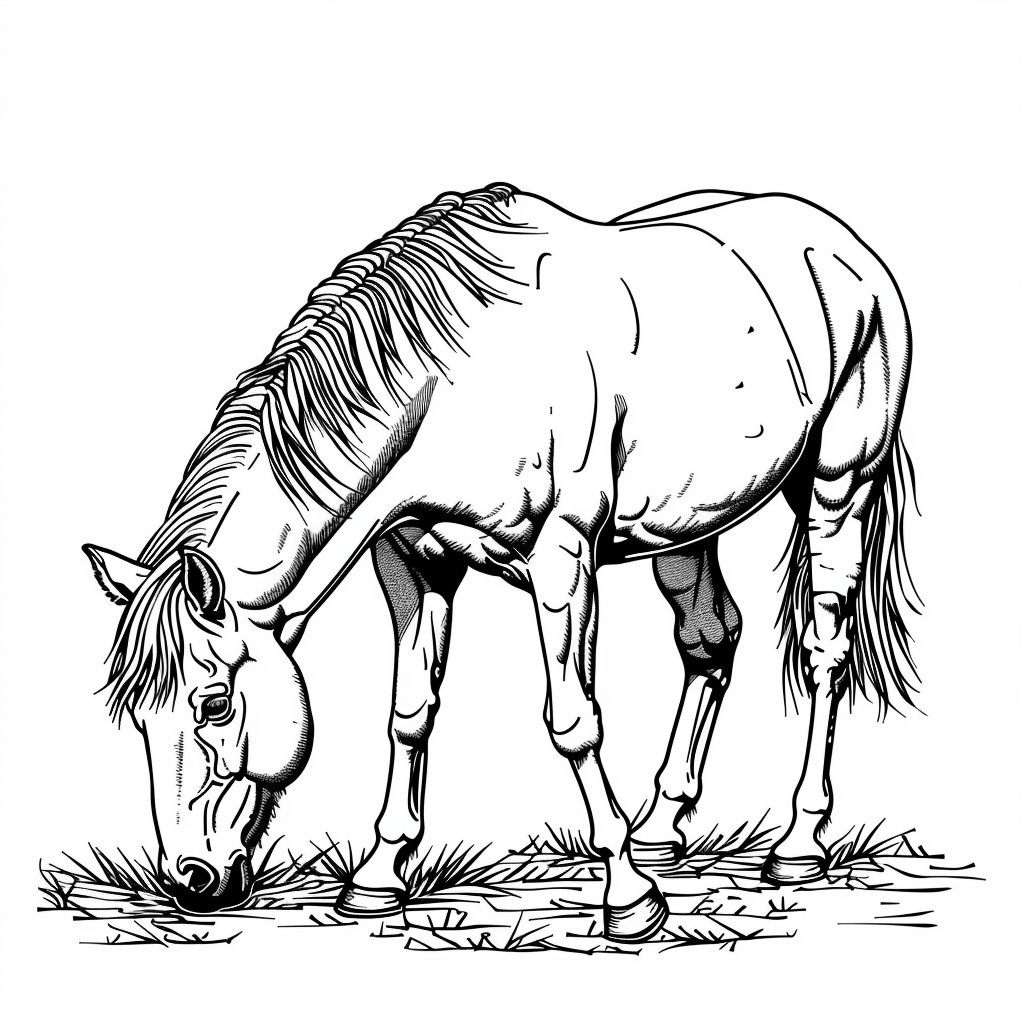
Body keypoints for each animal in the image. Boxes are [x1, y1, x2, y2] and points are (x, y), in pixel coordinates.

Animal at [83, 183, 919, 942]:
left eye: (214, 704)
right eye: (139, 716)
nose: (190, 881)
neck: (458, 382)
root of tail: (840, 244)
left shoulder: (563, 558)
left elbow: (574, 722)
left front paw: (628, 897)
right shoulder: (410, 560)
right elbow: (409, 713)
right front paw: (380, 878)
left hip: (838, 484)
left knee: (824, 649)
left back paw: (798, 844)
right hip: (687, 527)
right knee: (710, 638)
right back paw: (663, 828)